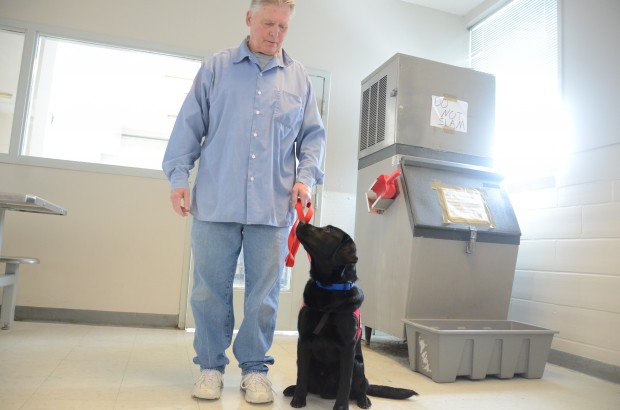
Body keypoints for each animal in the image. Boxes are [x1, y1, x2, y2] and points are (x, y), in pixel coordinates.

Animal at [284, 223, 418, 408]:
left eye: (327, 230)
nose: (302, 222)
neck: (329, 289)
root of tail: (324, 392)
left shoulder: (348, 347)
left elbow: (345, 382)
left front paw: (341, 406)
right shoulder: (303, 340)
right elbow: (301, 375)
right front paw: (298, 399)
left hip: (358, 364)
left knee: (362, 386)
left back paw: (364, 400)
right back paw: (292, 389)